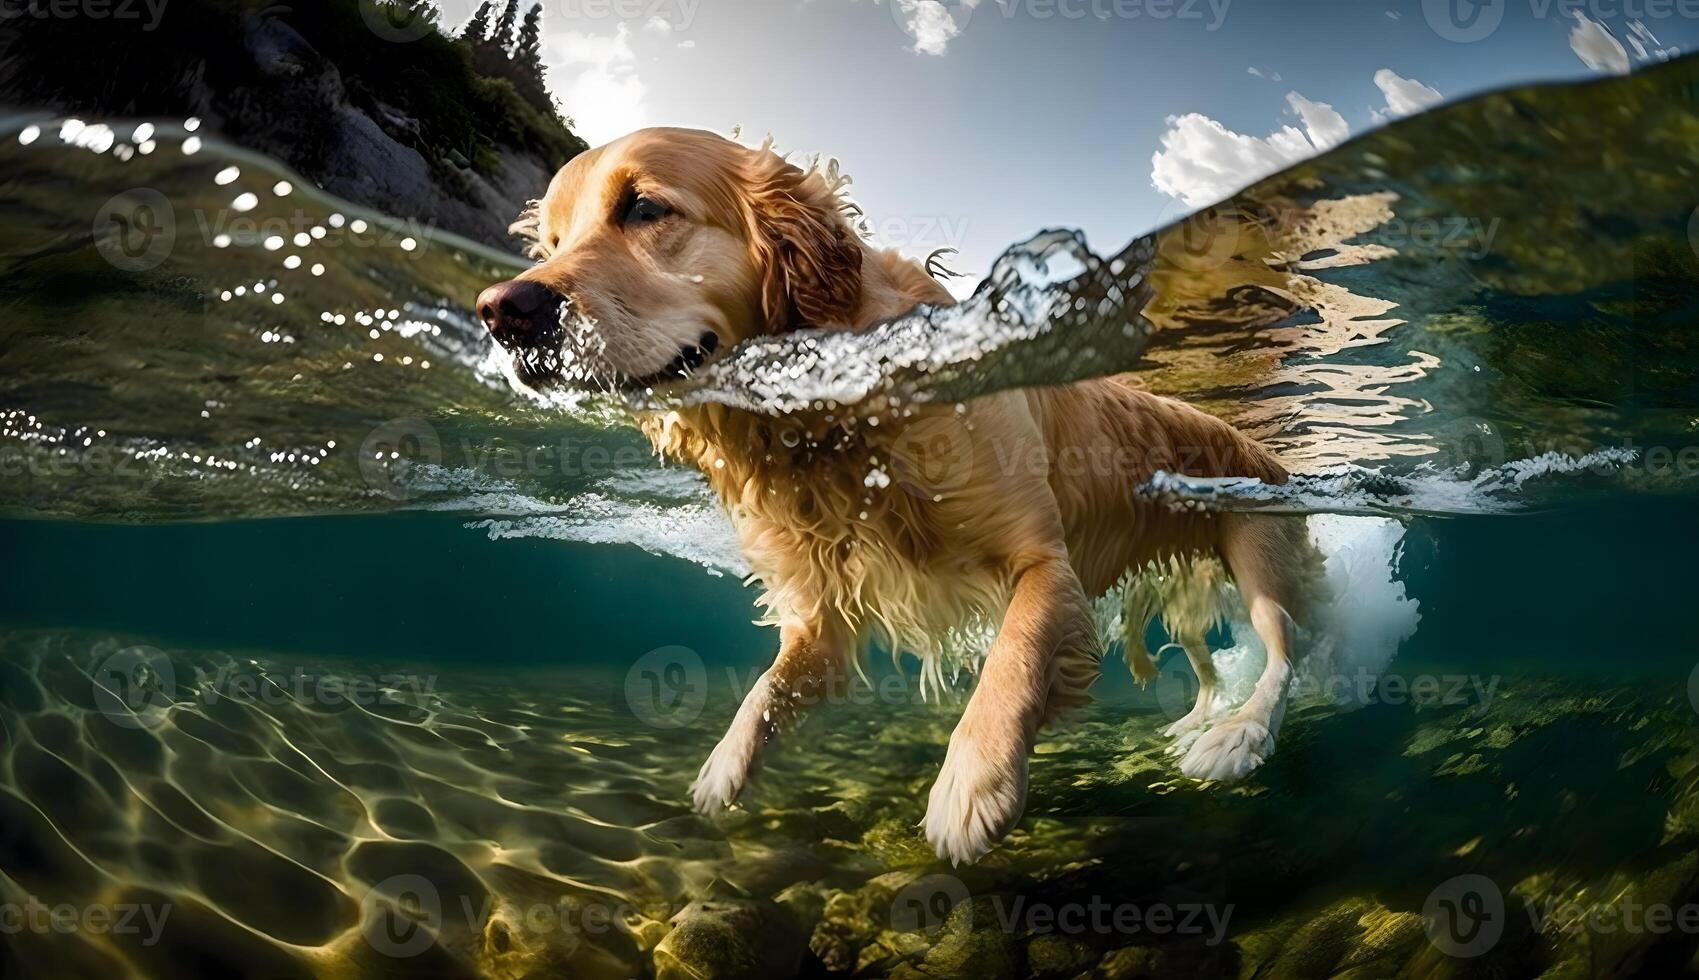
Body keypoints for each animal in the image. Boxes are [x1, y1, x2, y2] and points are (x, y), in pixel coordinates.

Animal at [479, 125, 1325, 859]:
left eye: (644, 208)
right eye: (550, 243)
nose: (502, 312)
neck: (830, 421)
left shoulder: (1045, 565)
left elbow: (1014, 659)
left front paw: (972, 784)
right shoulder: (819, 613)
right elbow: (768, 687)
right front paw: (720, 769)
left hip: (1260, 545)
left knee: (1283, 651)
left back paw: (1235, 739)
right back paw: (1196, 723)